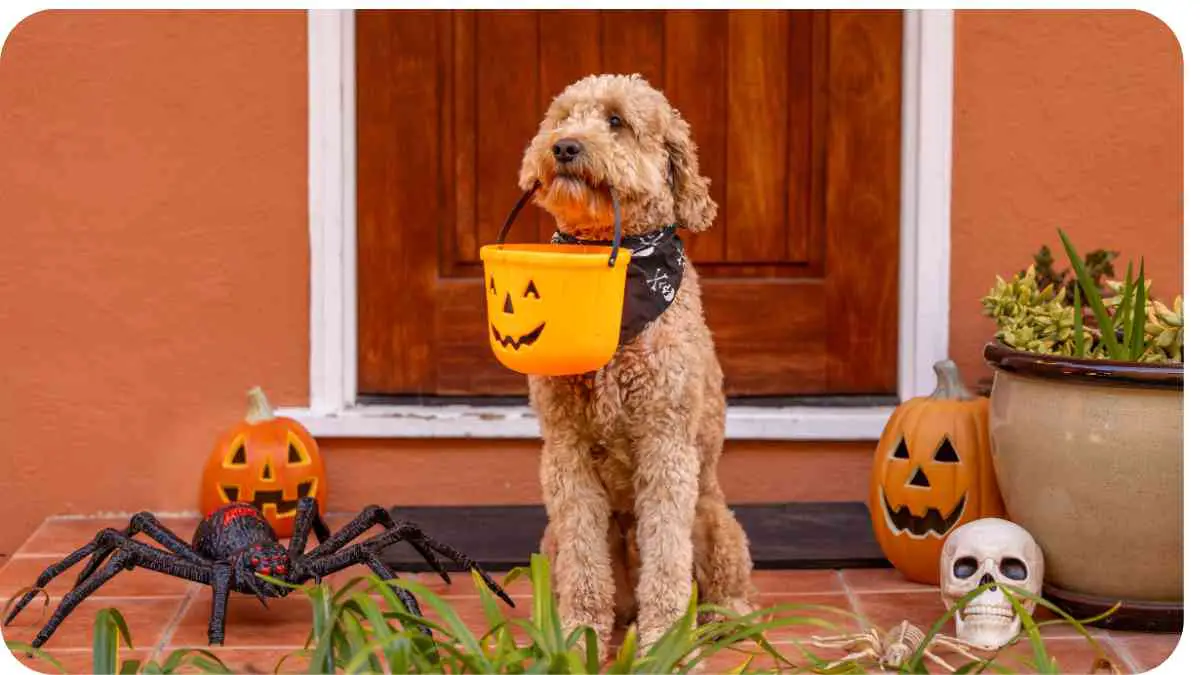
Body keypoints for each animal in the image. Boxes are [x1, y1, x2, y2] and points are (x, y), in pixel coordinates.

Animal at [520, 72, 753, 648]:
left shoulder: (665, 445)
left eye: (616, 121)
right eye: (563, 117)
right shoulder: (566, 450)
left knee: (726, 582)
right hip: (550, 539)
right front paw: (579, 633)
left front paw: (663, 641)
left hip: (714, 518)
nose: (564, 146)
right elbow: (584, 558)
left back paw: (722, 618)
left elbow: (667, 556)